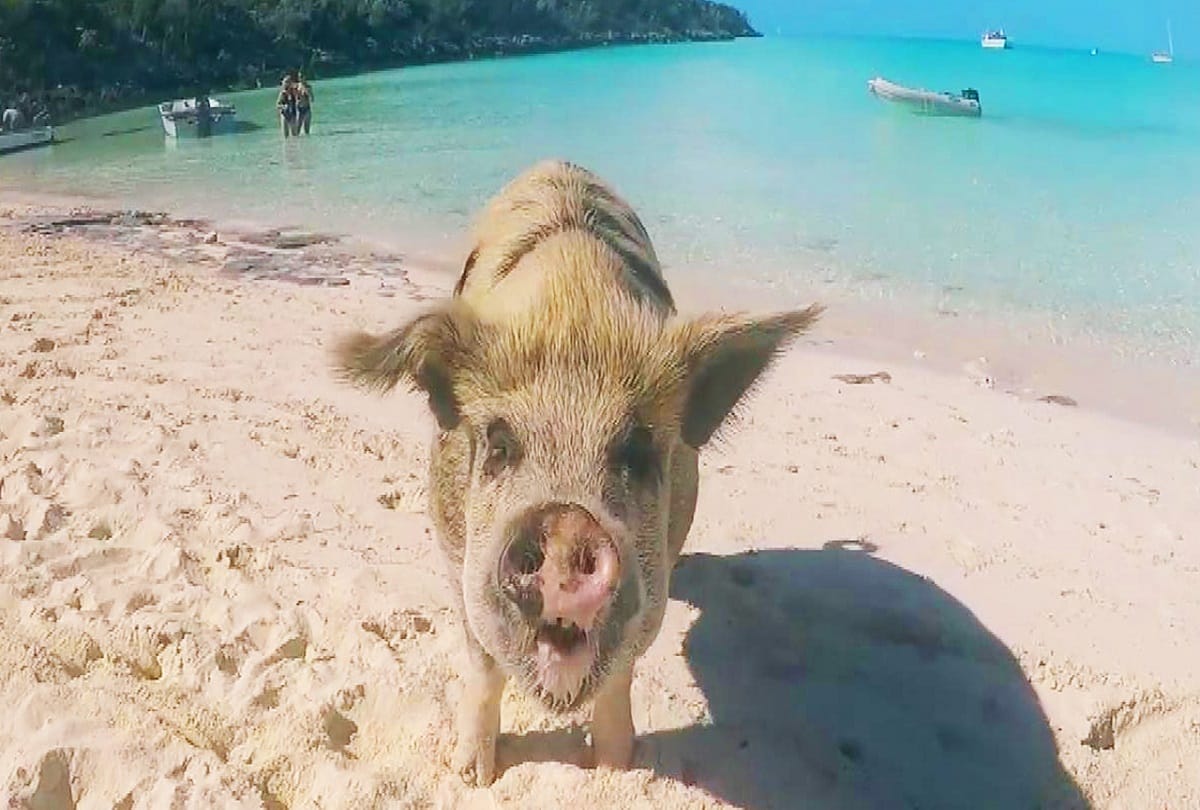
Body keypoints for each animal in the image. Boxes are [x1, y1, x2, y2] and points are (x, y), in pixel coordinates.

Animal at [333, 159, 822, 785]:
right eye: (497, 445)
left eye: (637, 453)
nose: (567, 526)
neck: (574, 311)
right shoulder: (452, 548)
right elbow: (482, 662)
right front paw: (471, 776)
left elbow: (622, 670)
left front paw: (617, 768)